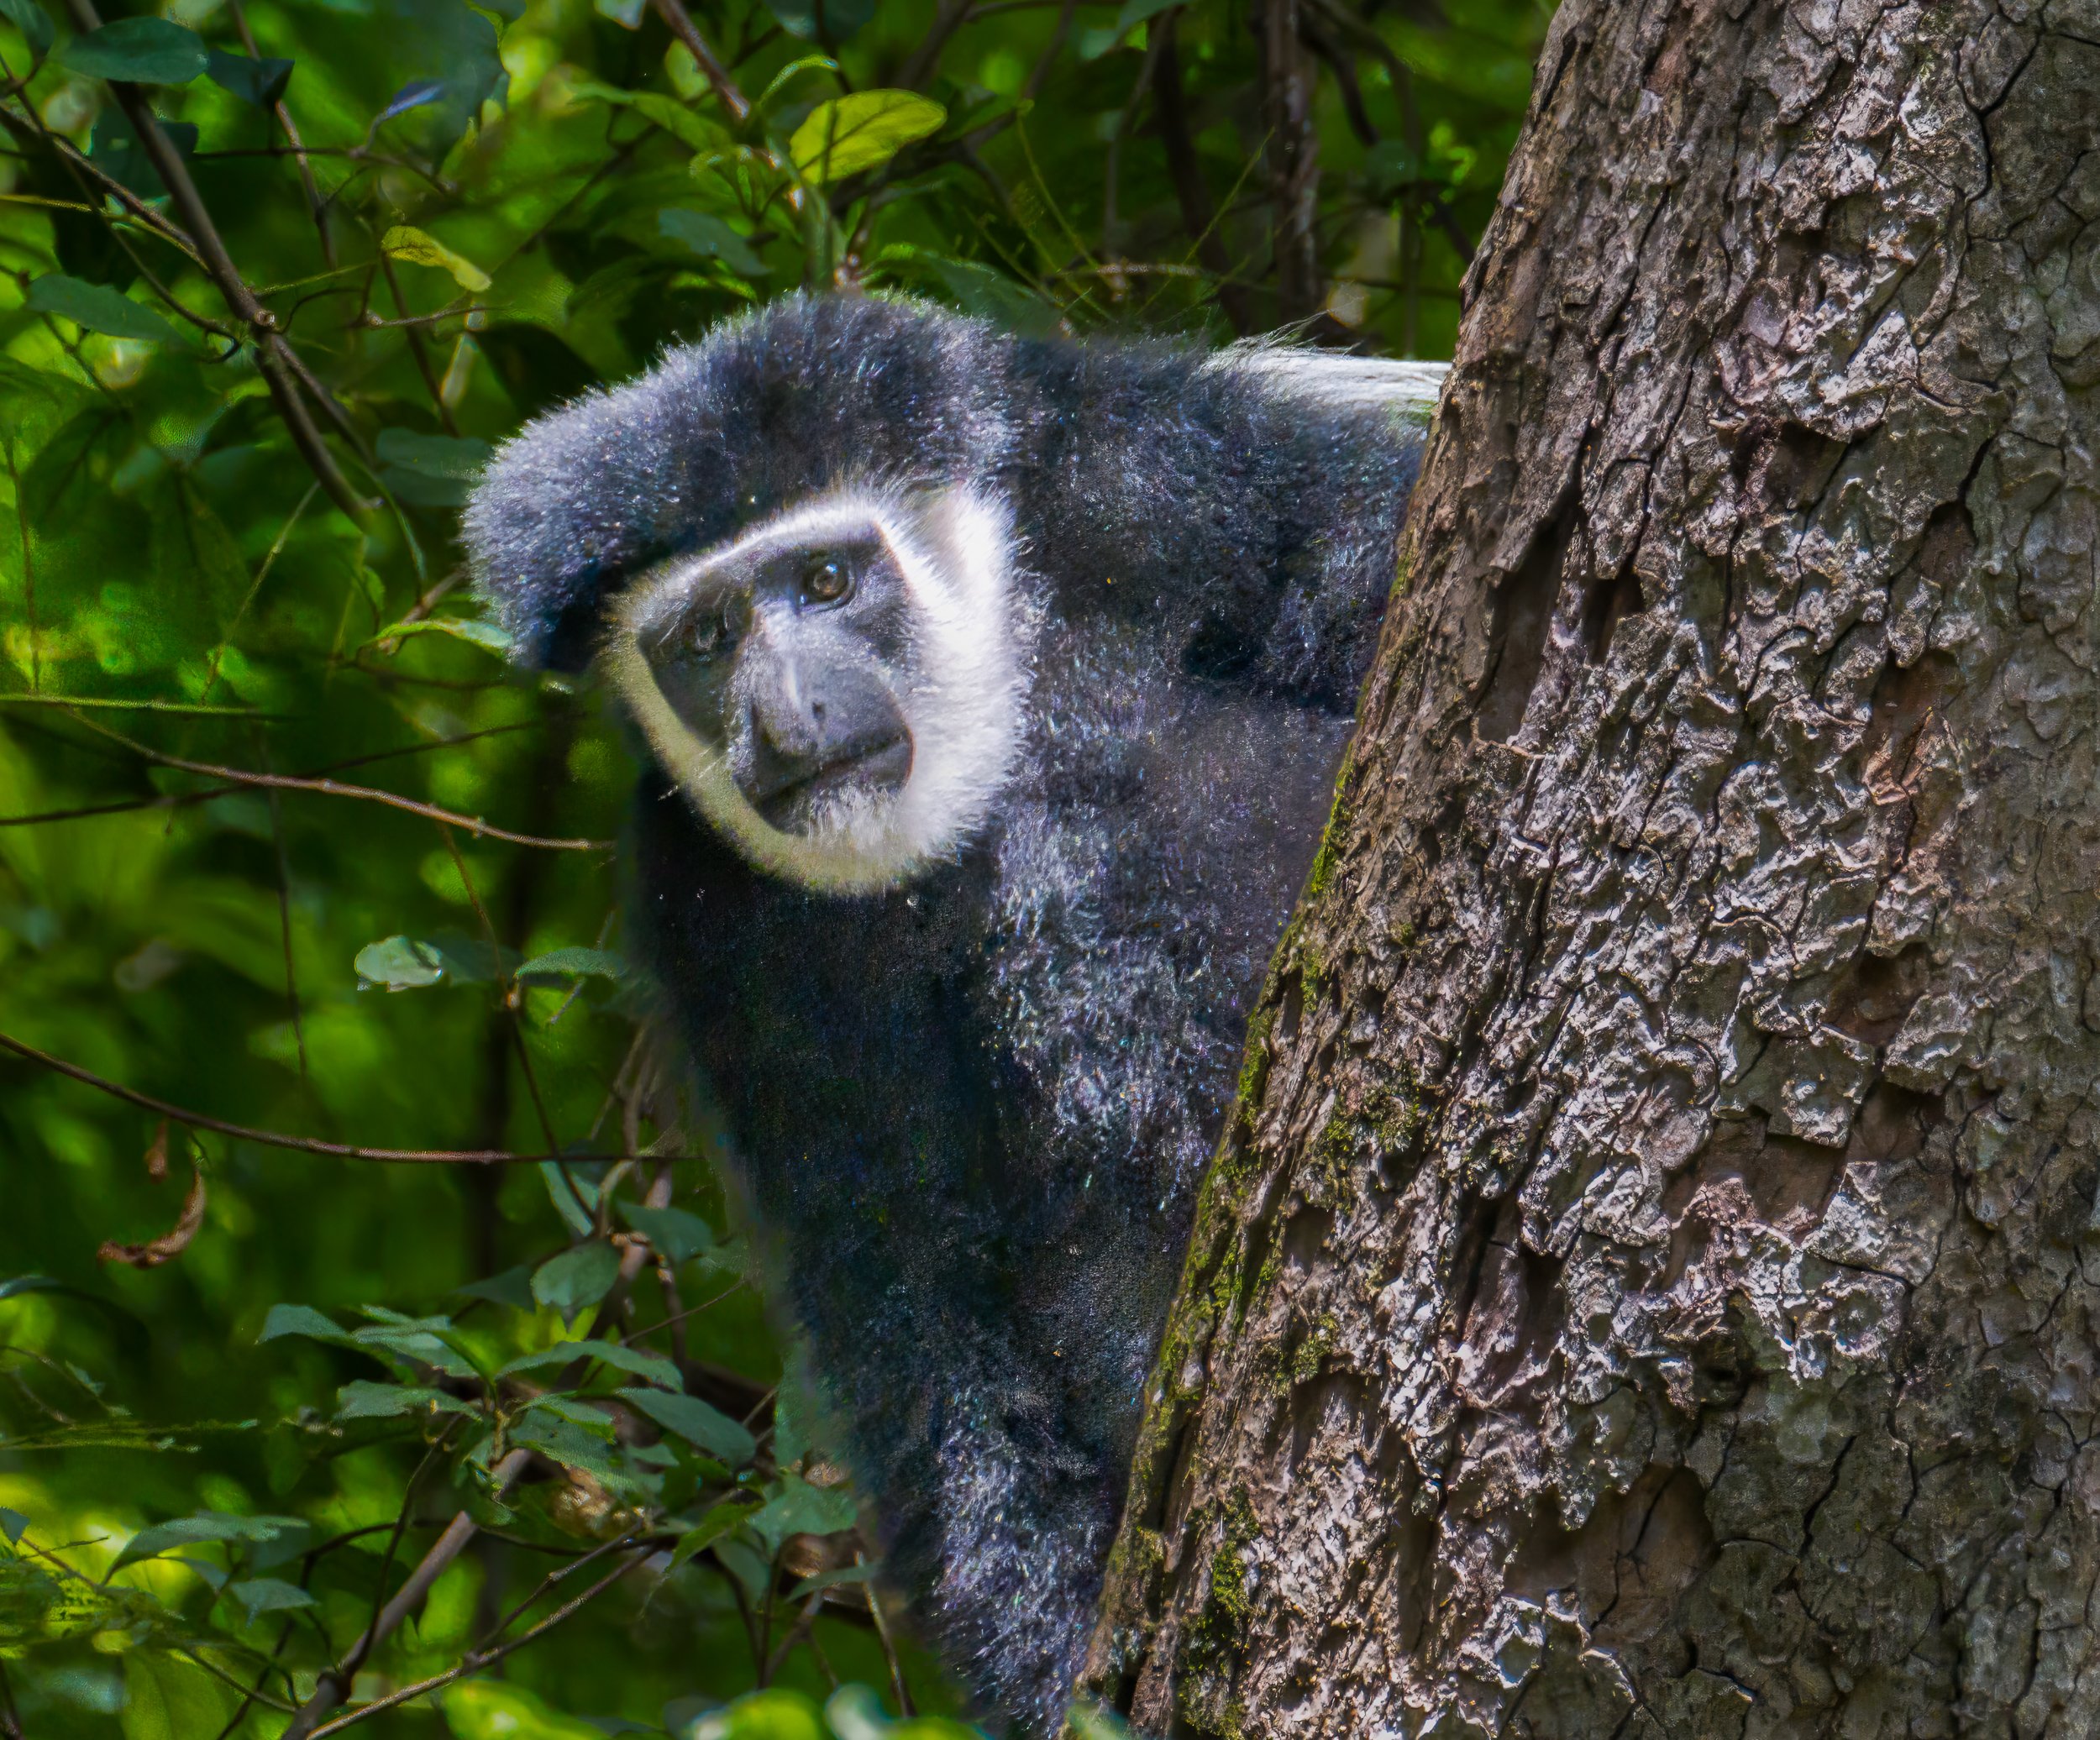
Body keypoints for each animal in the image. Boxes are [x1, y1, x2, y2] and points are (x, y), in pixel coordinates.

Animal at [463, 292, 1441, 1736]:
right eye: (704, 641)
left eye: (826, 581)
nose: (790, 720)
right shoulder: (725, 934)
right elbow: (913, 1280)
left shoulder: (1163, 478)